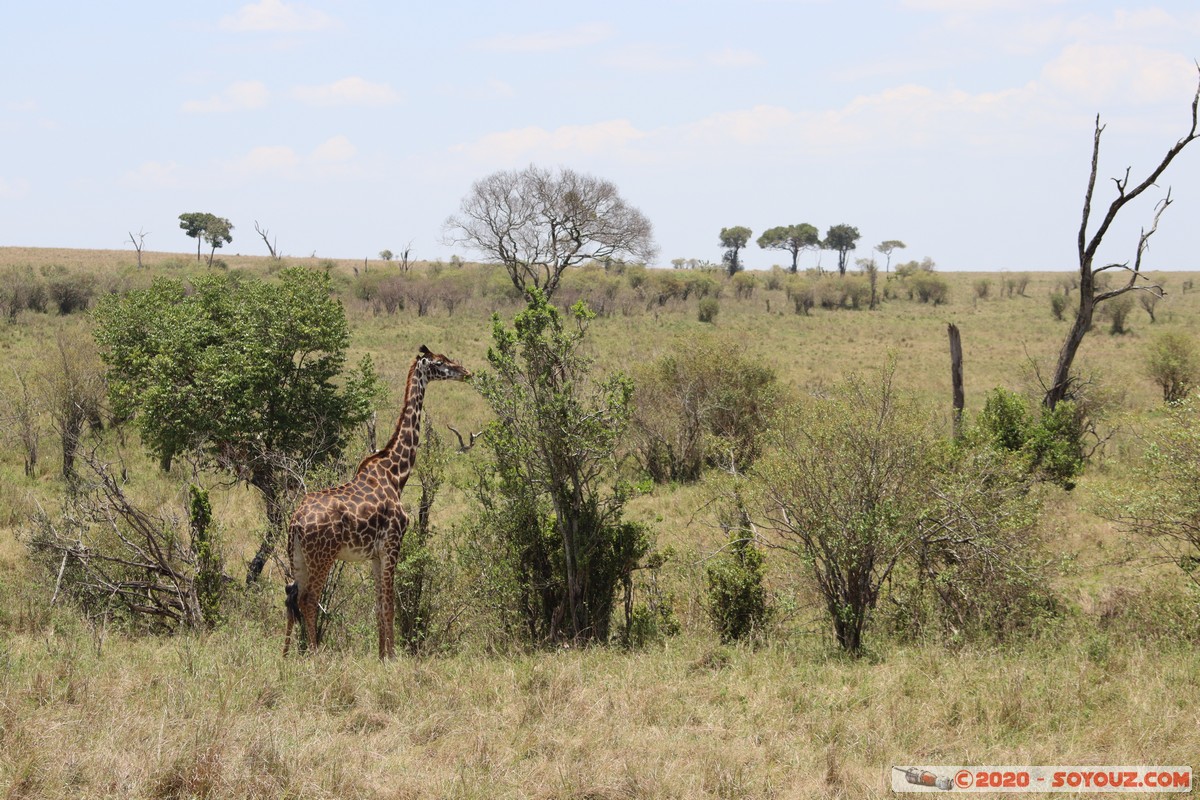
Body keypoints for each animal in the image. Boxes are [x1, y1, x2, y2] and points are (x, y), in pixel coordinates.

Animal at [283, 345, 471, 658]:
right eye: (440, 362)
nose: (466, 372)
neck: (397, 474)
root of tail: (296, 521)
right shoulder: (393, 544)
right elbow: (390, 605)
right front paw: (393, 656)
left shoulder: (374, 554)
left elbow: (378, 604)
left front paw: (382, 654)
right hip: (323, 556)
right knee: (308, 599)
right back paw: (316, 654)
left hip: (297, 557)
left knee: (290, 595)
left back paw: (286, 655)